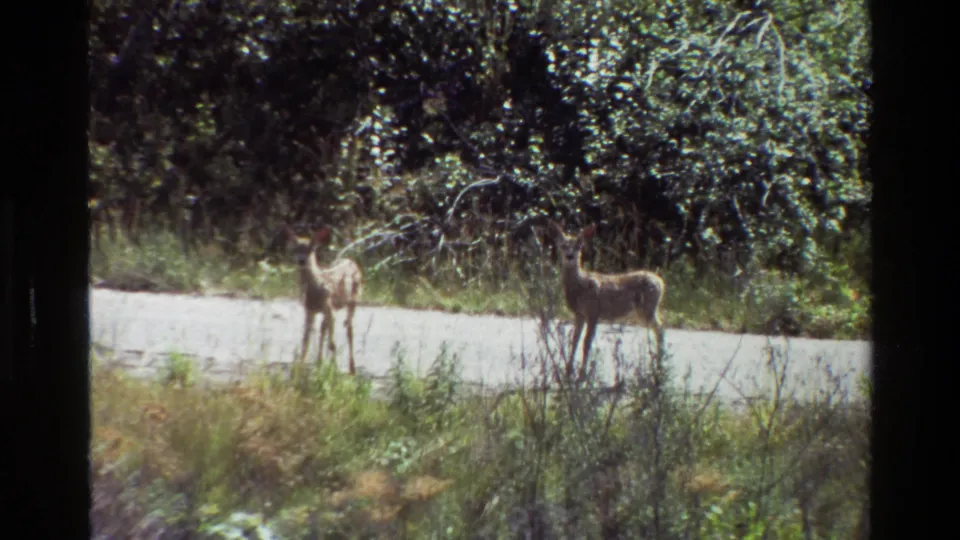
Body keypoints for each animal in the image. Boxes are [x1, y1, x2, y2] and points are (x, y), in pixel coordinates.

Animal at [284, 224, 364, 375]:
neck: (315, 289)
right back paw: (320, 362)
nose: (301, 261)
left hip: (353, 299)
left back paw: (352, 367)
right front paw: (299, 367)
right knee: (323, 328)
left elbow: (332, 343)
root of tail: (351, 261)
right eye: (295, 249)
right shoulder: (309, 310)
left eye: (310, 249)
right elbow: (305, 339)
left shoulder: (329, 308)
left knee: (349, 329)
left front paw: (334, 370)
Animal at [547, 220, 666, 379]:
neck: (580, 285)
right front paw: (568, 371)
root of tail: (661, 283)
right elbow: (574, 341)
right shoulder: (579, 314)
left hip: (647, 308)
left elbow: (586, 342)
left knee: (660, 329)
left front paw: (582, 374)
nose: (570, 256)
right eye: (563, 245)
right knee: (659, 330)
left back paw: (659, 367)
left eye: (579, 245)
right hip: (646, 310)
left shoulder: (593, 311)